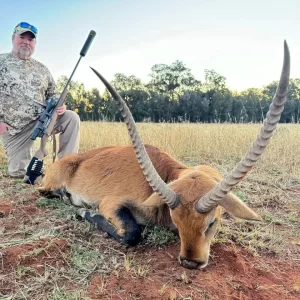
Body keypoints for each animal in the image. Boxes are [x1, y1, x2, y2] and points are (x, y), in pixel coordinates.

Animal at [38, 41, 290, 268]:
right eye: (176, 220)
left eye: (212, 223)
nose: (190, 262)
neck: (167, 173)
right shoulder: (111, 204)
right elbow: (132, 233)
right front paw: (85, 212)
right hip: (50, 187)